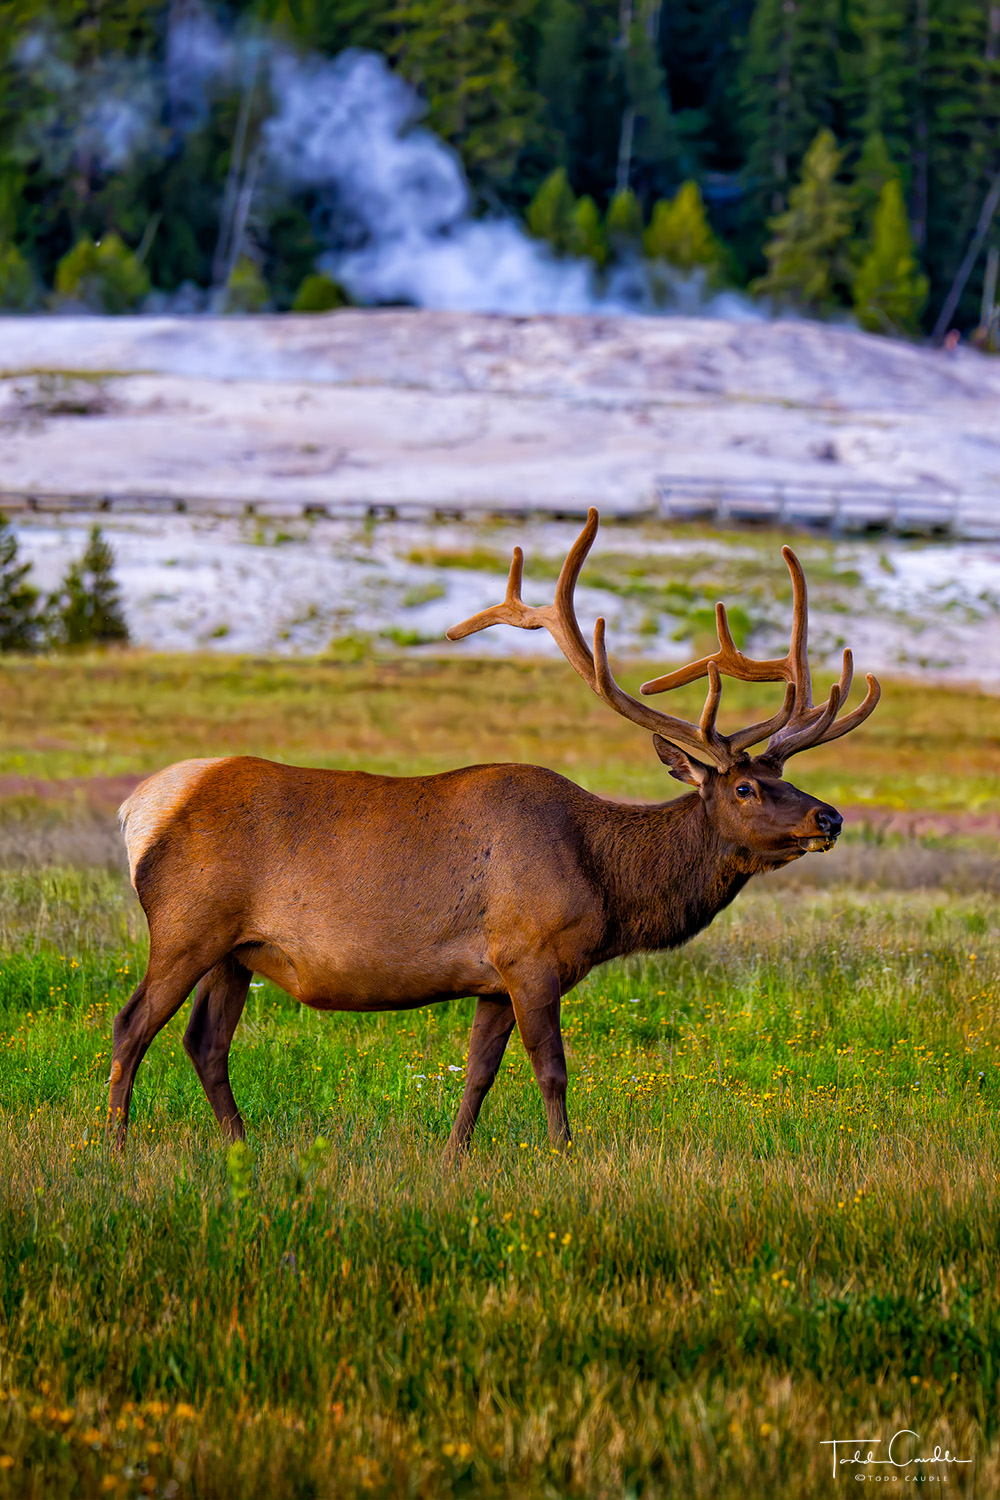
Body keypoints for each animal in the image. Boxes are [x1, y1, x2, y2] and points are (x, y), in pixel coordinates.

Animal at [111, 509, 879, 1154]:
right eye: (745, 787)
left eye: (785, 777)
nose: (829, 816)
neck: (607, 885)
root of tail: (138, 809)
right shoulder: (531, 953)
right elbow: (552, 1070)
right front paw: (565, 1154)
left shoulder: (491, 976)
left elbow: (478, 1072)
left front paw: (454, 1155)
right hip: (186, 925)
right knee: (132, 1024)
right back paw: (113, 1147)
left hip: (236, 951)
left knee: (205, 1042)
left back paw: (241, 1146)